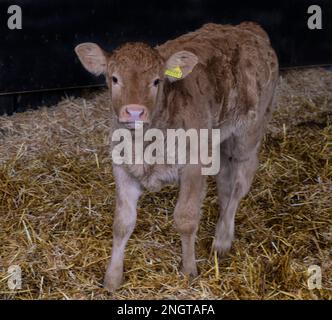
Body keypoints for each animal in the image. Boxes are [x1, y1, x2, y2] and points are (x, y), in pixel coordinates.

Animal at [74, 21, 278, 290]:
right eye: (114, 78)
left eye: (157, 81)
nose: (135, 112)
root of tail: (246, 27)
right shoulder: (123, 167)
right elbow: (122, 223)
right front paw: (112, 278)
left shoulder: (194, 164)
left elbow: (186, 219)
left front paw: (189, 270)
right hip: (219, 140)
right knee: (225, 185)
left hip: (248, 135)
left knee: (239, 185)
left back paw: (222, 240)